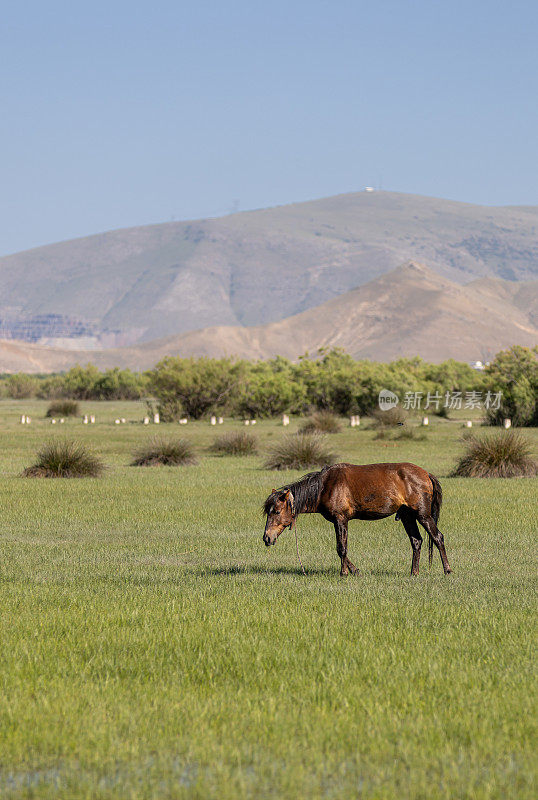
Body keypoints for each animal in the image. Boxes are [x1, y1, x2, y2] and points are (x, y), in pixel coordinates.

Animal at [262, 462, 450, 576]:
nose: (267, 538)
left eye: (276, 511)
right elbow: (341, 549)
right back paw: (414, 573)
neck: (324, 486)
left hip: (422, 515)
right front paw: (355, 570)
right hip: (407, 515)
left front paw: (344, 572)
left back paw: (447, 570)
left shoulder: (341, 520)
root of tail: (426, 474)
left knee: (437, 537)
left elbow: (341, 548)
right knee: (416, 541)